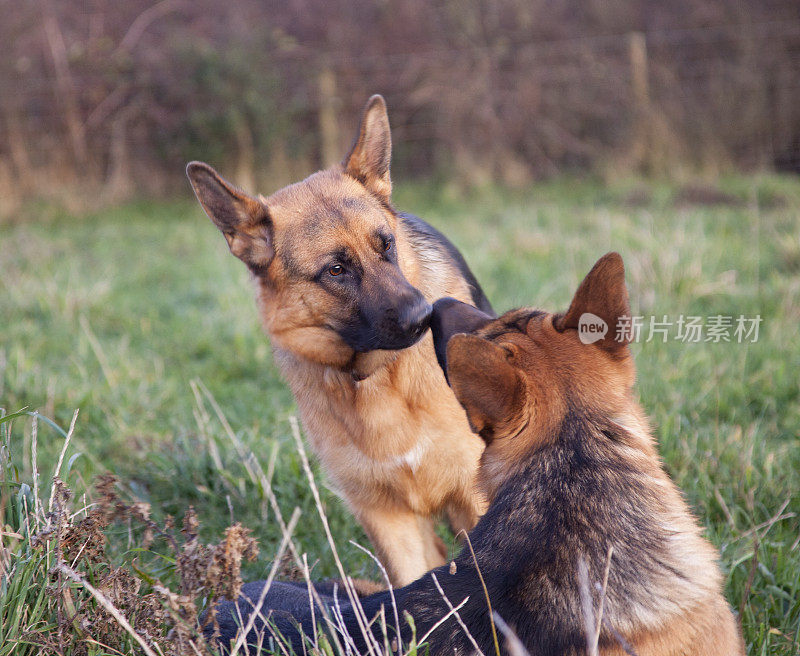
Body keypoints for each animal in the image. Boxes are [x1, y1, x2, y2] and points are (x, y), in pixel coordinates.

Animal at [187, 96, 490, 584]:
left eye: (387, 245)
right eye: (335, 270)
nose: (424, 318)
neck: (377, 381)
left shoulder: (477, 497)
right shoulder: (389, 522)